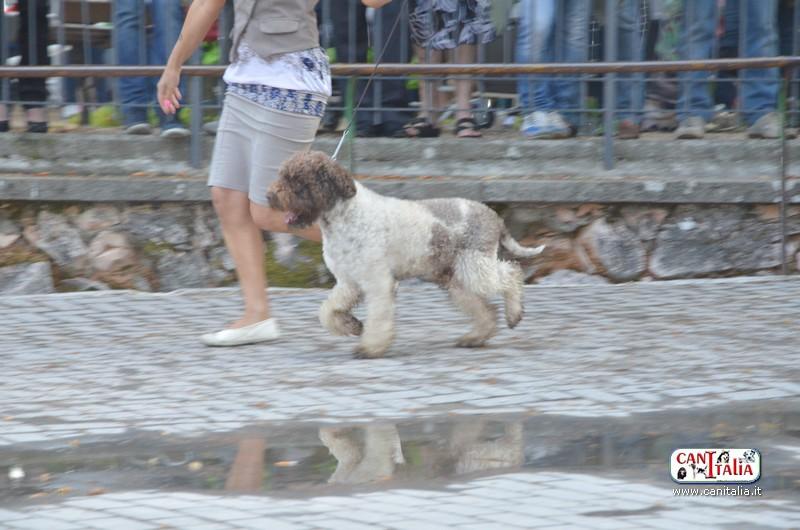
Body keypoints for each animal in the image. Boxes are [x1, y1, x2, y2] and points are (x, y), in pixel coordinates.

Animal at [267, 151, 544, 358]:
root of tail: (493, 215)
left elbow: (379, 316)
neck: (344, 215)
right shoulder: (349, 282)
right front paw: (352, 326)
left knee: (511, 273)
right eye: (282, 174)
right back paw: (475, 337)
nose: (269, 196)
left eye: (297, 180)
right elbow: (327, 311)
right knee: (483, 307)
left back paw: (514, 314)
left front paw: (371, 347)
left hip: (474, 266)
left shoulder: (378, 281)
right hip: (453, 277)